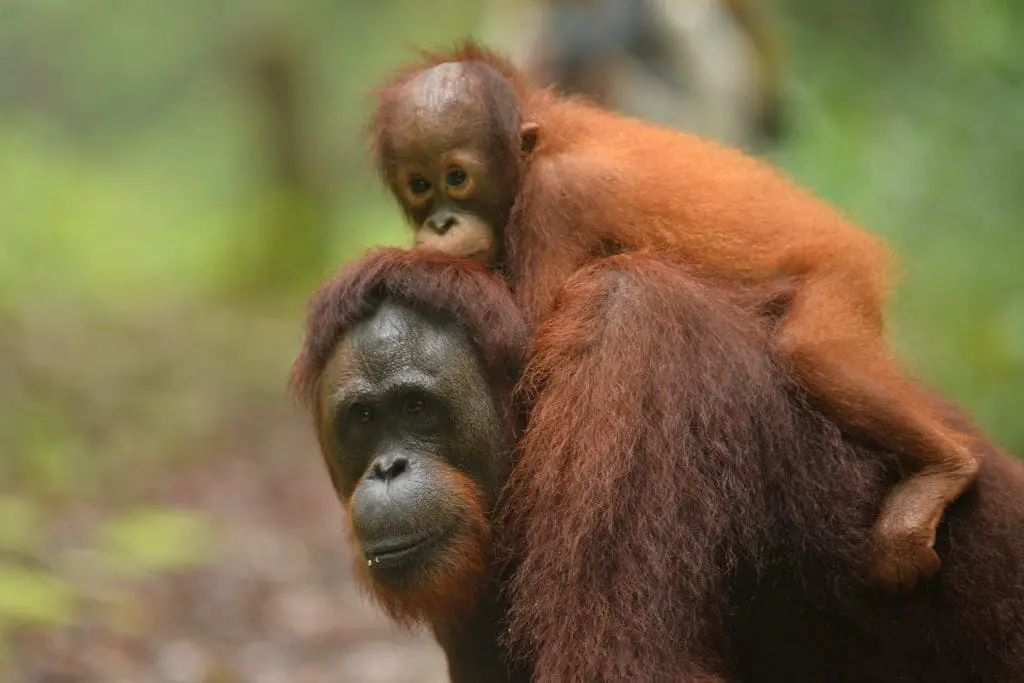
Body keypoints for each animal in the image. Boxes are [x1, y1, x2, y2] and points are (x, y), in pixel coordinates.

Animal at [367, 41, 980, 592]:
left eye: (457, 178)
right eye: (419, 186)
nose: (441, 223)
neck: (537, 148)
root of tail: (858, 244)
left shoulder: (557, 201)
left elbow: (533, 338)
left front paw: (408, 267)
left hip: (840, 280)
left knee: (812, 352)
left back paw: (947, 470)